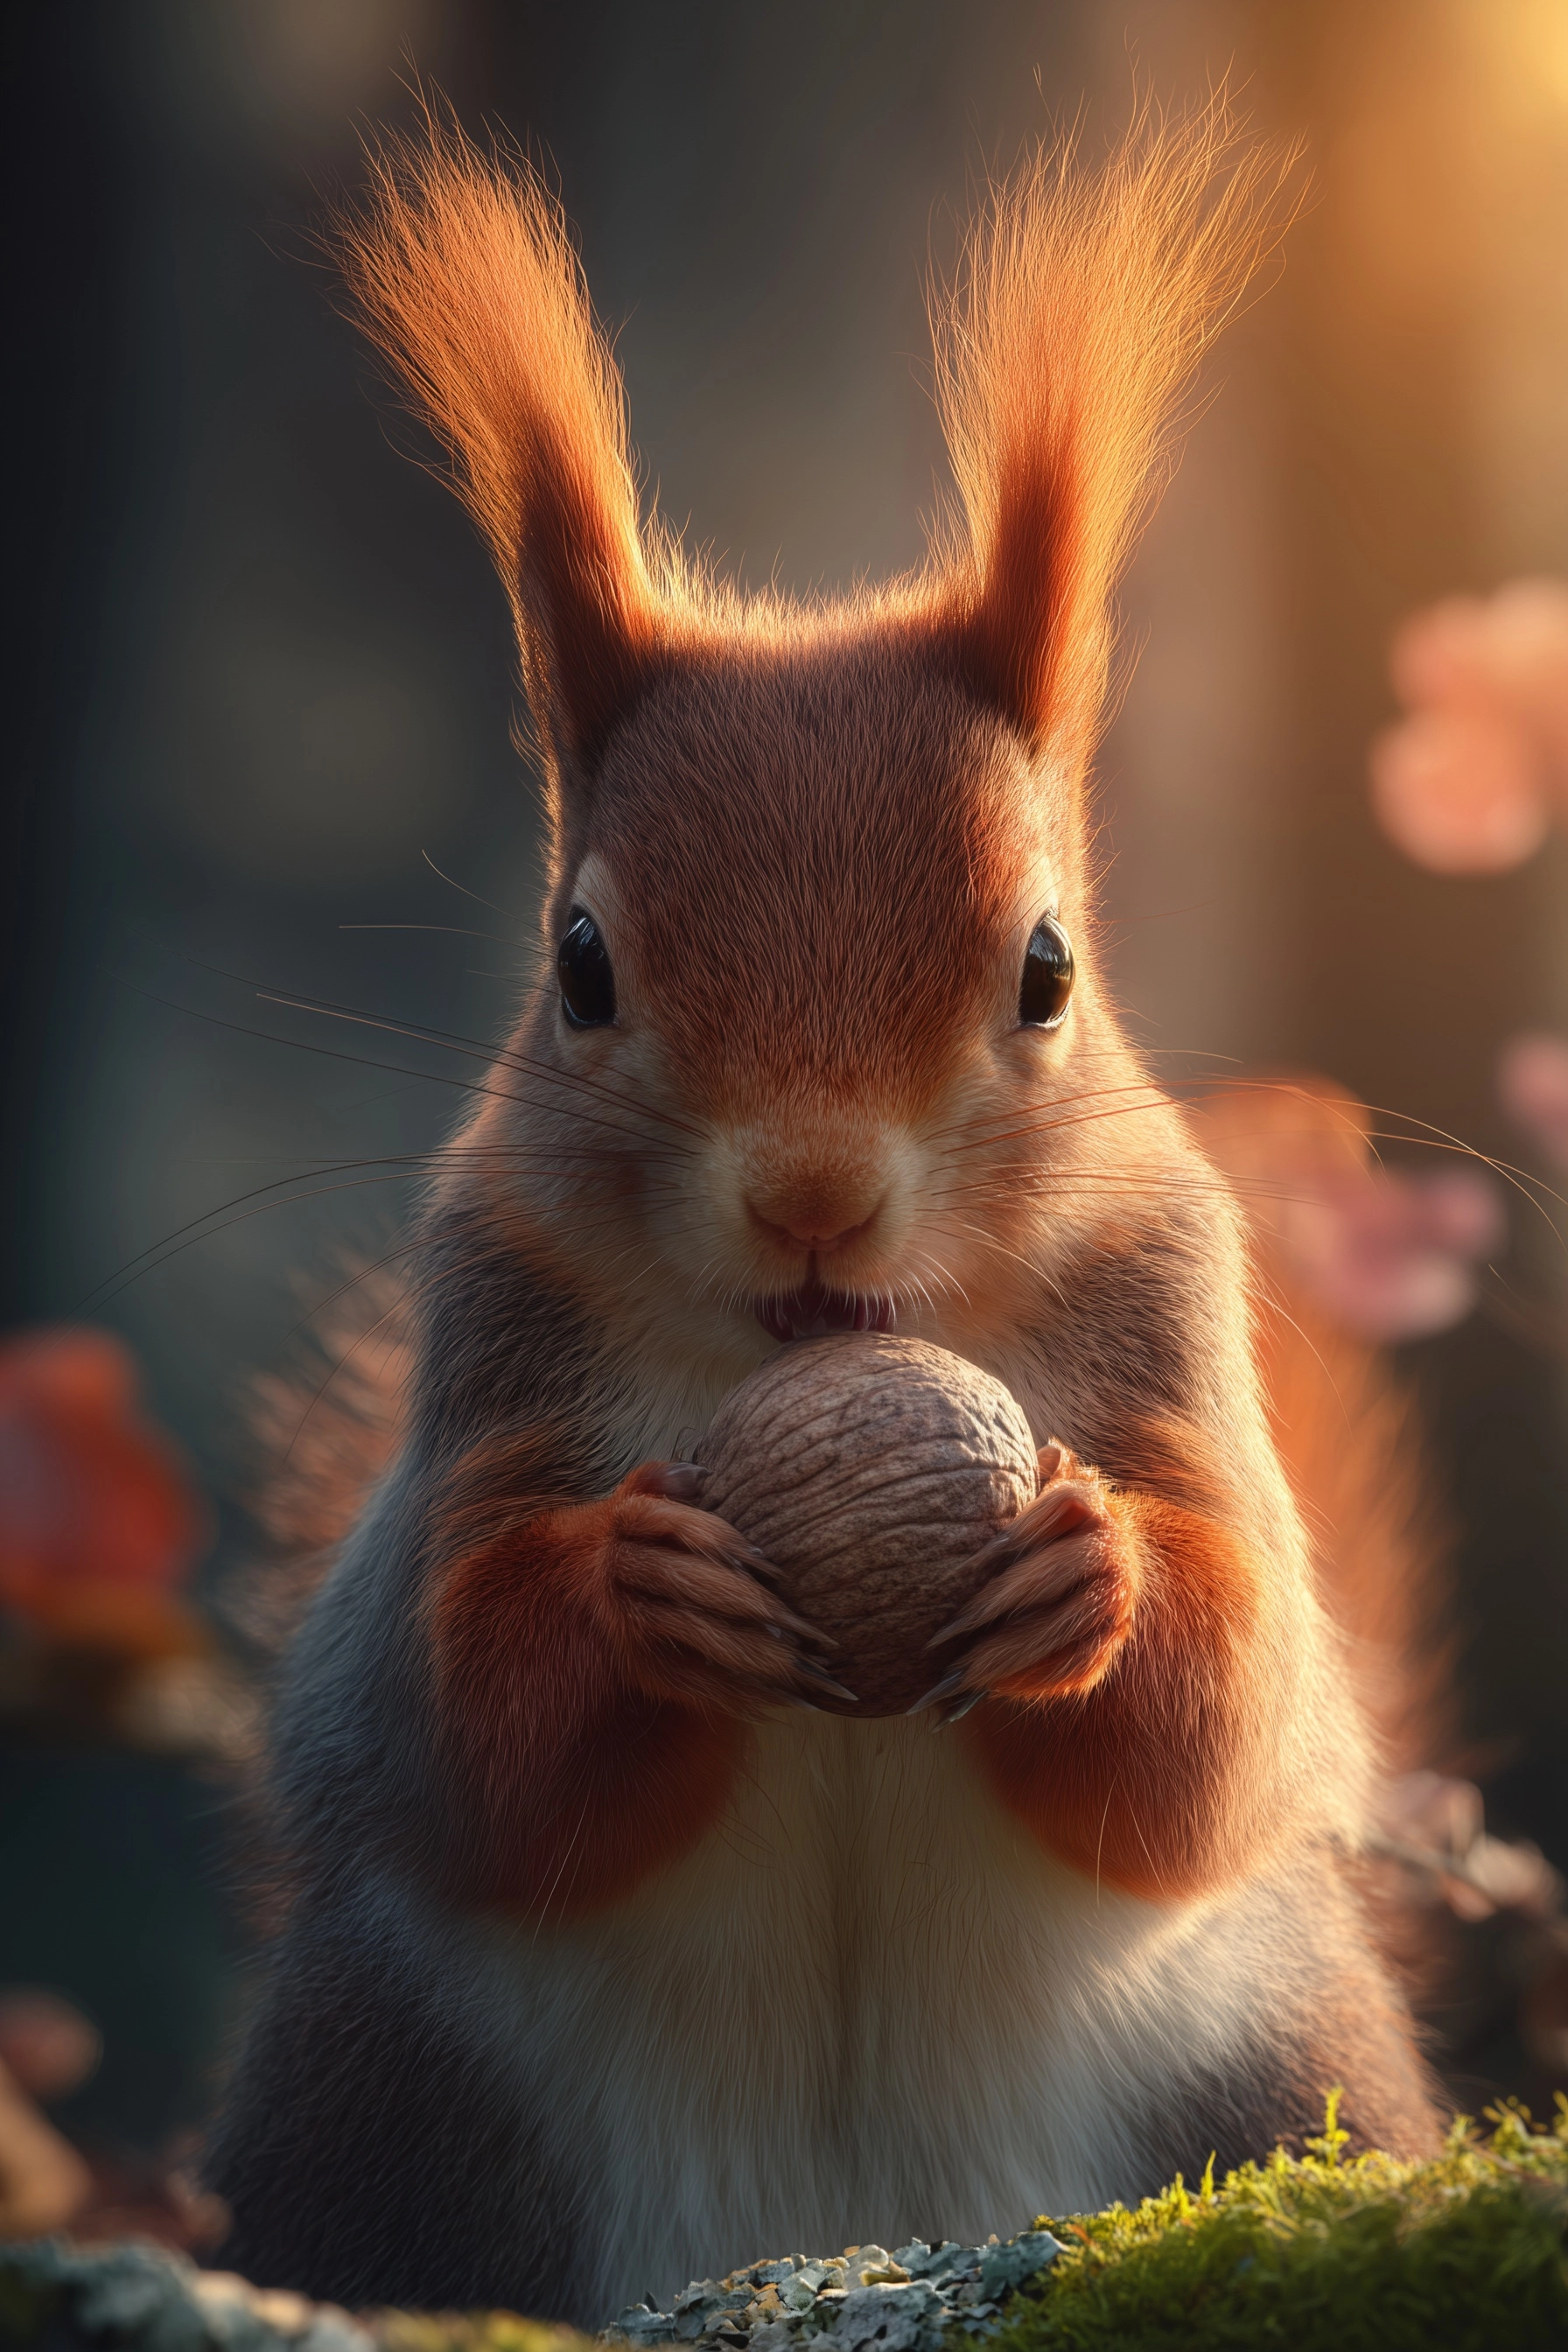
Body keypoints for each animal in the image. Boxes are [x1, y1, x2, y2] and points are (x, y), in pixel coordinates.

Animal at [206, 97, 1444, 2325]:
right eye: (579, 961)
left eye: (1046, 968)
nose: (811, 1200)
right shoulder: (483, 1367)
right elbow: (461, 1717)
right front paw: (635, 1591)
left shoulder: (1172, 1339)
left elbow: (1213, 1728)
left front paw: (1095, 1578)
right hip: (377, 2119)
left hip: (1275, 2070)